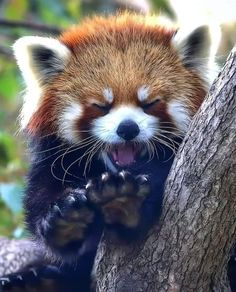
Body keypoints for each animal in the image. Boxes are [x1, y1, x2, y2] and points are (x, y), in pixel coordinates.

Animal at [0, 13, 218, 292]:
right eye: (100, 106)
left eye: (150, 103)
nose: (128, 128)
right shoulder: (55, 159)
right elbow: (40, 196)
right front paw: (65, 220)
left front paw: (124, 197)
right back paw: (33, 281)